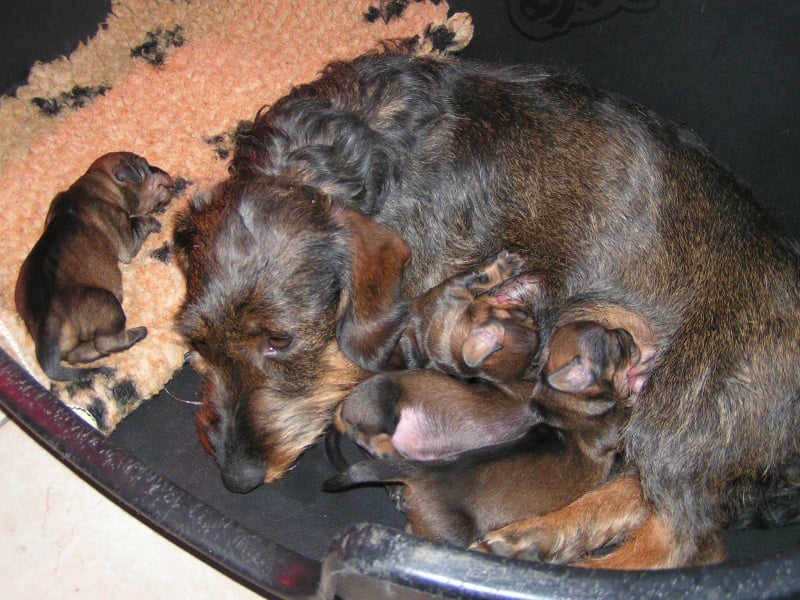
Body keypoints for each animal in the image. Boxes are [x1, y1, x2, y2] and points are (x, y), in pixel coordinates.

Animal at [15, 154, 175, 380]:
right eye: (147, 167)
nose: (164, 171)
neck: (98, 183)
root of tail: (47, 325)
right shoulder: (125, 237)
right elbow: (139, 220)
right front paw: (154, 218)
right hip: (107, 303)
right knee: (105, 342)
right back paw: (136, 334)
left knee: (76, 355)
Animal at [322, 322, 640, 548]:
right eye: (616, 343)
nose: (628, 333)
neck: (557, 401)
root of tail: (343, 406)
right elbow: (623, 410)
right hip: (385, 395)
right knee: (373, 438)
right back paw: (389, 453)